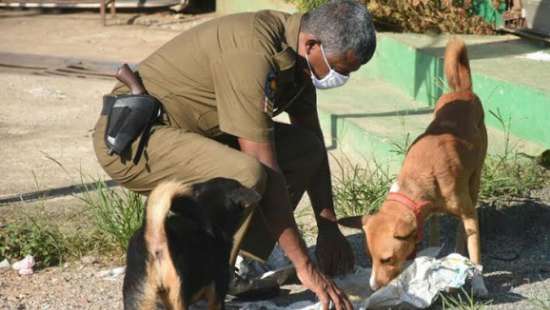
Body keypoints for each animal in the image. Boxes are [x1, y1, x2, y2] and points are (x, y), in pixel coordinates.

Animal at [342, 38, 490, 296]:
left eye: (387, 259)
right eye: (370, 258)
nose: (373, 287)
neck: (416, 179)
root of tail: (462, 91)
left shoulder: (468, 212)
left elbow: (475, 254)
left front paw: (479, 283)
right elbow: (432, 233)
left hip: (475, 182)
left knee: (464, 226)